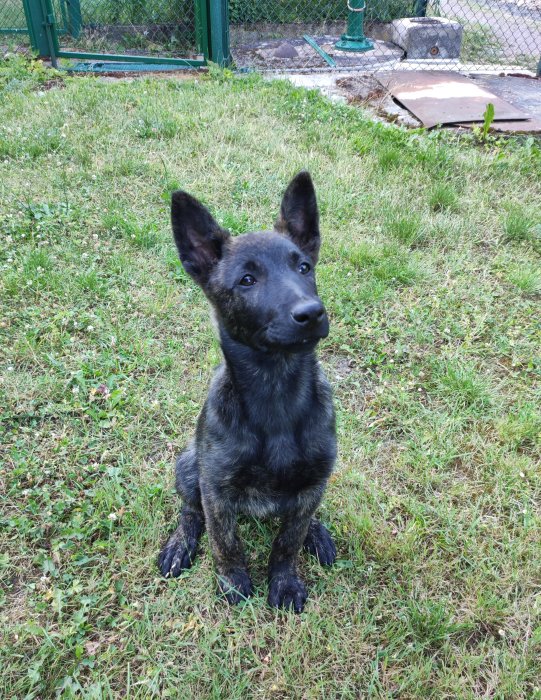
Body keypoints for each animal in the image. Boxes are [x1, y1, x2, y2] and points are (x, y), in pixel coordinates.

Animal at [158, 171, 337, 612]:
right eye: (247, 280)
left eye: (304, 267)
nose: (312, 313)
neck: (276, 392)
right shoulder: (217, 489)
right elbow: (225, 541)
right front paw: (233, 581)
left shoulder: (312, 483)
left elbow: (288, 541)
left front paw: (285, 580)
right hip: (188, 466)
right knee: (189, 510)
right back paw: (180, 544)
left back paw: (317, 532)